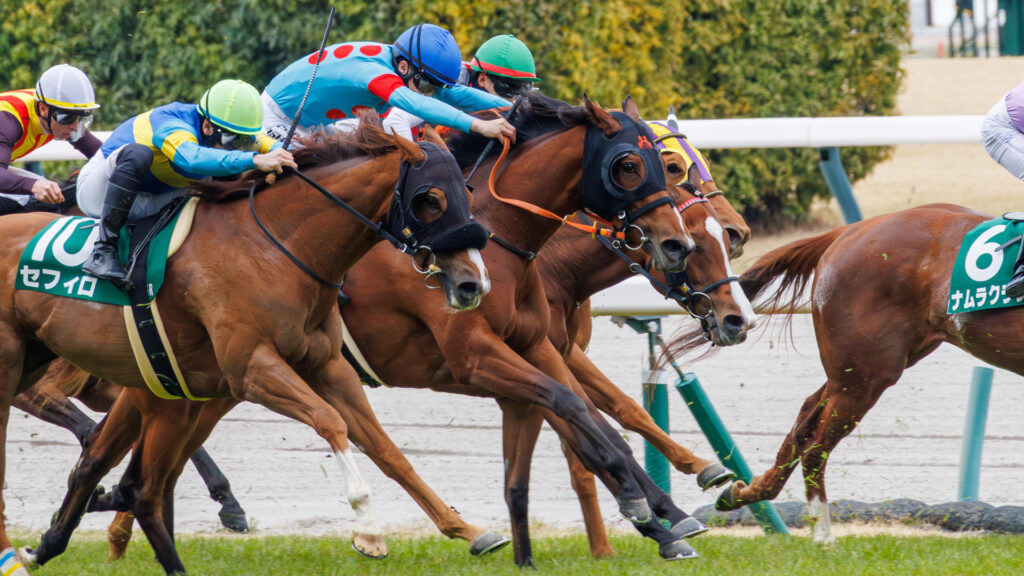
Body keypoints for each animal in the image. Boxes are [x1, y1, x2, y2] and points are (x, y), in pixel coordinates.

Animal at [11, 121, 491, 575]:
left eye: (466, 191)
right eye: (431, 199)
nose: (472, 284)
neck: (281, 247)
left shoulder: (327, 365)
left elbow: (387, 449)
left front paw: (466, 529)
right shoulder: (253, 370)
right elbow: (331, 423)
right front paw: (368, 531)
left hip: (146, 386)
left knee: (96, 456)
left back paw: (49, 545)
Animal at [670, 203, 1024, 545]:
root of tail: (847, 232)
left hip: (856, 369)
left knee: (803, 423)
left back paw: (746, 493)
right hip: (865, 373)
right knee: (815, 444)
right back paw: (823, 535)